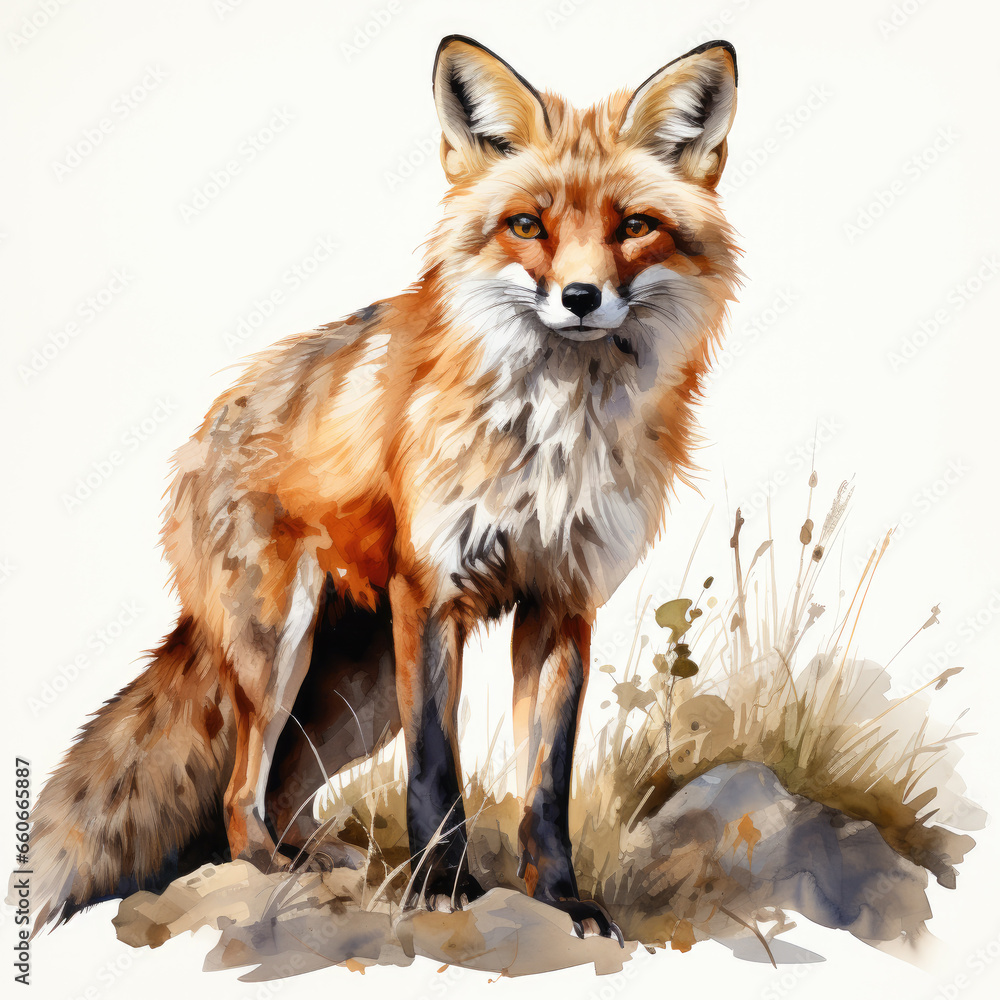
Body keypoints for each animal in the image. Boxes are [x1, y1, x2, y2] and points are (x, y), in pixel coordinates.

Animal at [27, 35, 740, 943]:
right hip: (283, 650)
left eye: (635, 227)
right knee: (237, 793)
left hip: (356, 695)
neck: (553, 435)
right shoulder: (431, 595)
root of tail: (205, 431)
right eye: (527, 226)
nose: (581, 297)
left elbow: (546, 788)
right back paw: (274, 873)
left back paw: (326, 862)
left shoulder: (562, 602)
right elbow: (435, 771)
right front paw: (442, 887)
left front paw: (562, 900)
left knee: (286, 786)